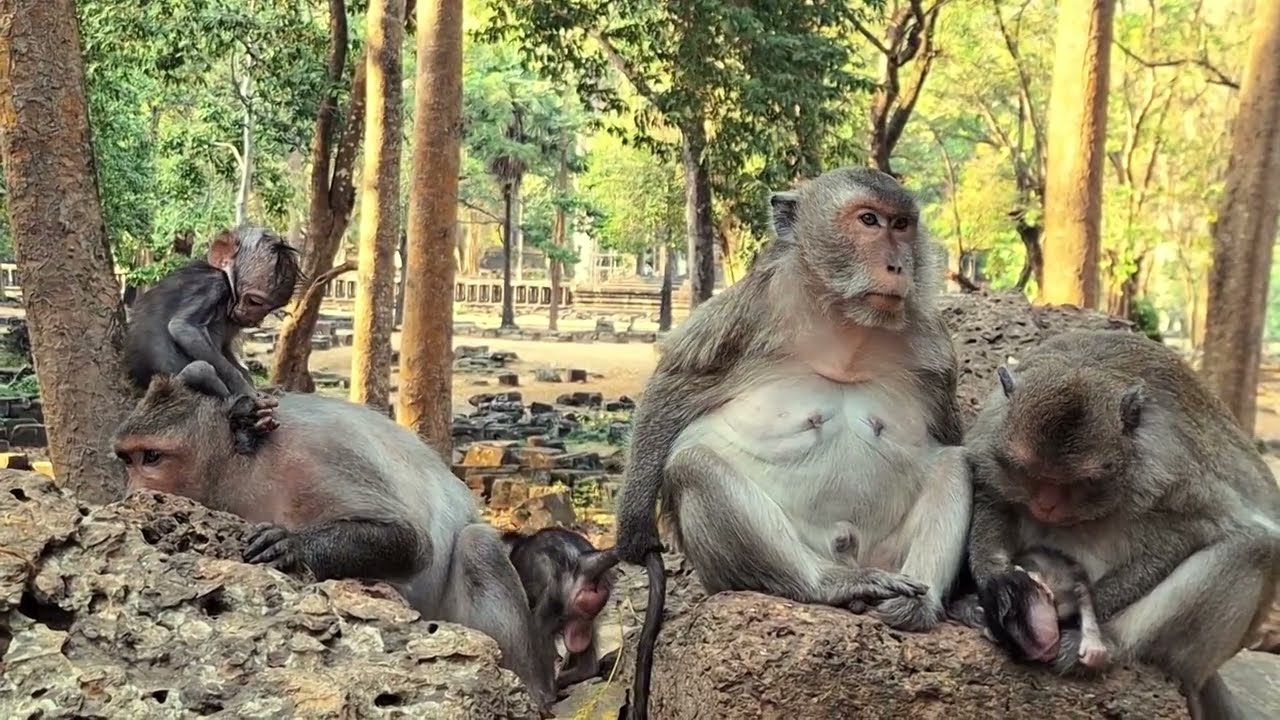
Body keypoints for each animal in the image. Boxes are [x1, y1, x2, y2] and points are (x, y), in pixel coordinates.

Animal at [111, 361, 559, 710]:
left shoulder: (314, 457)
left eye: (151, 457)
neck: (243, 466)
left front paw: (291, 547)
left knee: (476, 545)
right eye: (126, 459)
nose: (132, 493)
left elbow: (413, 543)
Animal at [124, 226, 300, 435]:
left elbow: (225, 348)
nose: (258, 318)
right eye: (255, 302)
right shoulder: (213, 286)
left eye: (270, 308)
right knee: (200, 370)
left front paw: (256, 386)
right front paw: (248, 392)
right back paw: (247, 413)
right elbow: (184, 328)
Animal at [612, 167, 973, 719]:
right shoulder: (752, 305)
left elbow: (950, 434)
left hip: (890, 552)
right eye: (869, 221)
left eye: (902, 224)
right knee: (694, 464)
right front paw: (634, 528)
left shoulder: (933, 343)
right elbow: (677, 383)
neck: (846, 323)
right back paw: (827, 586)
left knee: (955, 463)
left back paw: (917, 604)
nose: (897, 265)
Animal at [965, 329, 1280, 720]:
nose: (1046, 504)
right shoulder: (990, 437)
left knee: (1254, 548)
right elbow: (994, 496)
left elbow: (1189, 533)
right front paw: (997, 581)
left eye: (1084, 482)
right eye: (1027, 472)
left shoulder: (1170, 472)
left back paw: (1106, 644)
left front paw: (1068, 608)